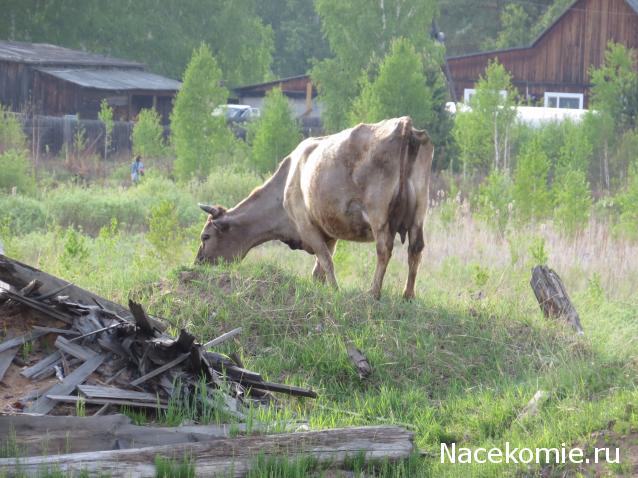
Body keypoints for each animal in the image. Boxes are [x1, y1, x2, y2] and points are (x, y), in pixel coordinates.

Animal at [198, 116, 438, 298]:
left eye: (205, 236)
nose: (198, 263)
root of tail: (404, 124)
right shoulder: (329, 231)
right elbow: (319, 267)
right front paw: (319, 288)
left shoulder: (306, 225)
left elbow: (325, 260)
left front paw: (335, 290)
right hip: (419, 212)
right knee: (415, 249)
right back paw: (408, 295)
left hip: (378, 215)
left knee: (384, 249)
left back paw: (373, 292)